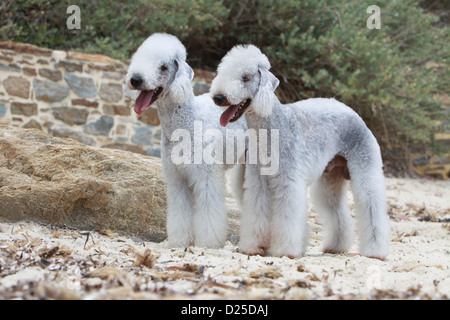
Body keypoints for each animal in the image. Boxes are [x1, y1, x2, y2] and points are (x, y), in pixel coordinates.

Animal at [125, 33, 246, 249]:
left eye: (163, 67)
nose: (135, 79)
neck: (188, 120)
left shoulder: (207, 176)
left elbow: (209, 212)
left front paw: (208, 243)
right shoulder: (177, 178)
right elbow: (180, 212)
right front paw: (178, 242)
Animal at [211, 45, 390, 260]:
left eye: (245, 77)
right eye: (223, 72)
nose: (218, 97)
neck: (272, 126)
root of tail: (354, 113)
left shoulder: (288, 182)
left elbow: (287, 218)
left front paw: (285, 251)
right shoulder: (258, 183)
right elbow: (256, 213)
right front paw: (253, 247)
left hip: (365, 168)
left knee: (371, 204)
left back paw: (375, 251)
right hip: (331, 178)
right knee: (337, 212)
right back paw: (336, 247)